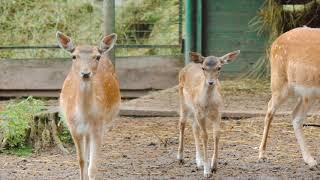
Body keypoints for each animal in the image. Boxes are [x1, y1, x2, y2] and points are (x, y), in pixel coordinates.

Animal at [55, 31, 120, 179]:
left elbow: (93, 167)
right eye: (74, 56)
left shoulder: (98, 127)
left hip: (105, 123)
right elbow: (81, 161)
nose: (85, 73)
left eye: (97, 57)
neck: (85, 116)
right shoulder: (73, 128)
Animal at [260, 26, 320, 170]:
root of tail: (274, 42)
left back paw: (310, 161)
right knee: (270, 108)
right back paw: (262, 155)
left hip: (308, 94)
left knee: (295, 116)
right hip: (279, 83)